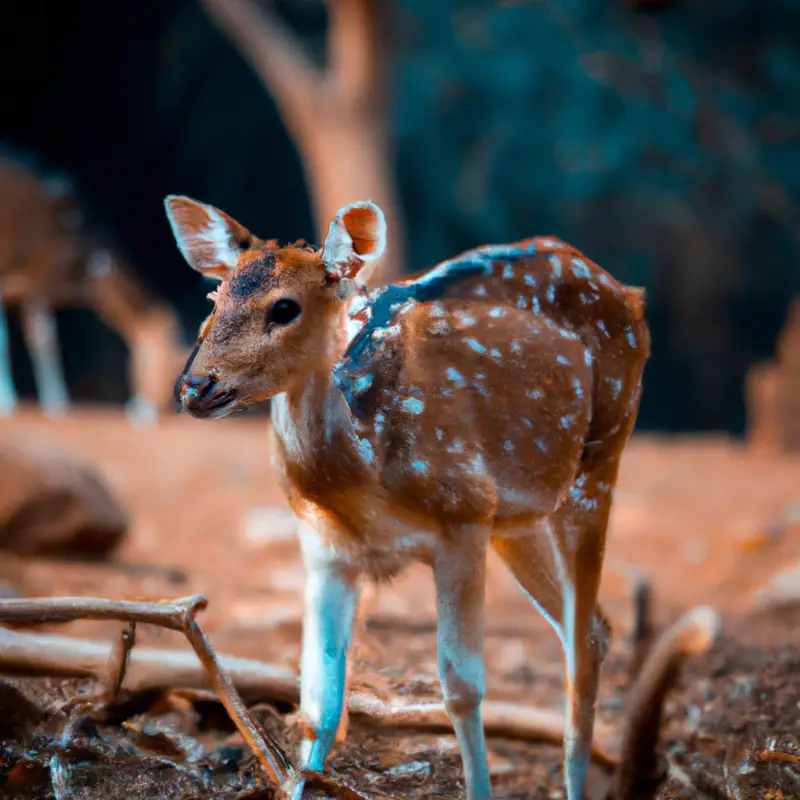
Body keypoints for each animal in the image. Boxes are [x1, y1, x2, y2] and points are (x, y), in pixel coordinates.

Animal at [0, 151, 186, 424]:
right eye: (172, 366)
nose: (145, 412)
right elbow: (34, 337)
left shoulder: (34, 287)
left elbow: (41, 336)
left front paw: (55, 405)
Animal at [167, 195, 648, 800]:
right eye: (215, 297)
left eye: (285, 308)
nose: (195, 387)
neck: (364, 480)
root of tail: (630, 294)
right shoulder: (323, 547)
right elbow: (318, 699)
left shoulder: (463, 515)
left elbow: (462, 686)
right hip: (517, 515)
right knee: (593, 628)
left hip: (601, 456)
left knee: (583, 638)